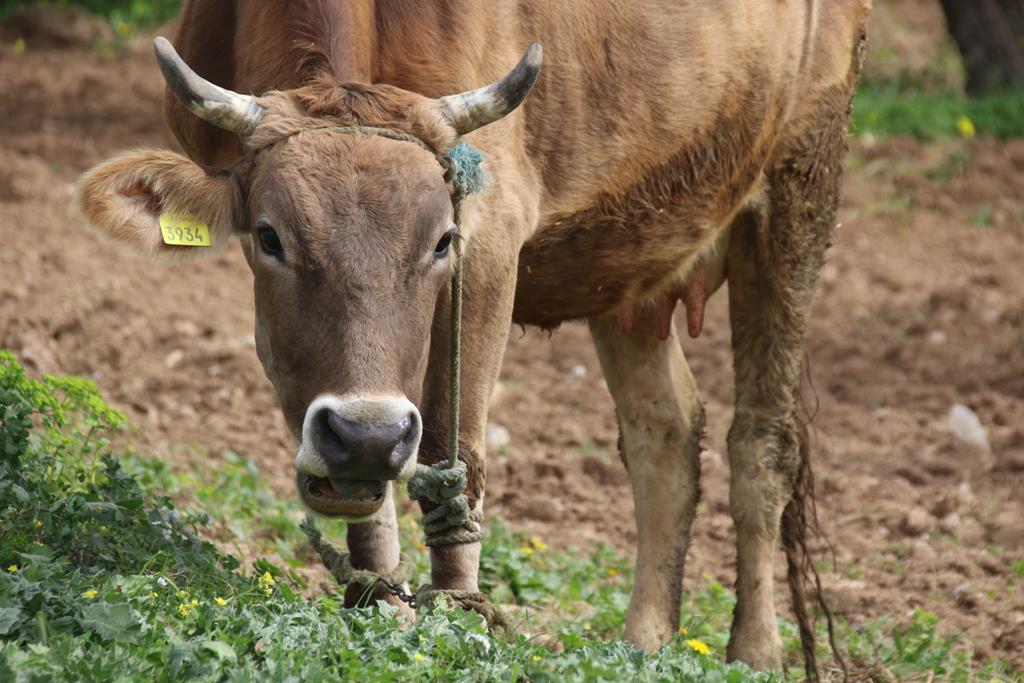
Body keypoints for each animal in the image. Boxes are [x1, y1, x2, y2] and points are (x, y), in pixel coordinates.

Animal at [77, 0, 871, 673]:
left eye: (441, 241)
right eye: (269, 237)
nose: (365, 433)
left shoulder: (493, 236)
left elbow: (454, 443)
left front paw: (457, 613)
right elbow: (373, 488)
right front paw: (378, 603)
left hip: (800, 182)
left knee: (762, 443)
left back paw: (755, 652)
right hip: (636, 254)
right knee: (665, 430)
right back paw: (647, 644)